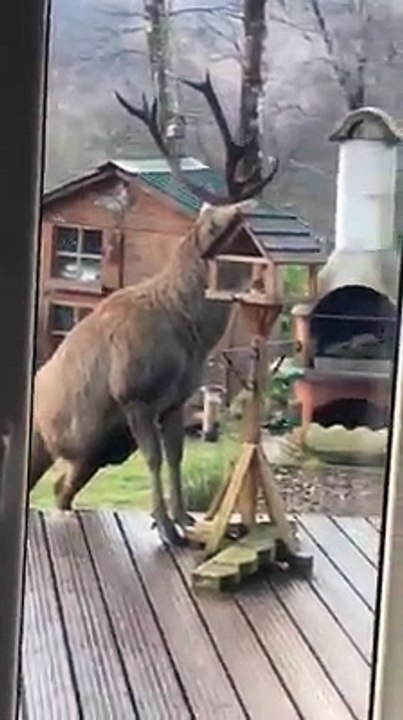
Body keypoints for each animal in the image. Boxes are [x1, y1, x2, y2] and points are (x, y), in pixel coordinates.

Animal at [28, 73, 279, 547]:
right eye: (236, 228)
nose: (264, 263)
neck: (187, 333)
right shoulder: (135, 394)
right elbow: (155, 460)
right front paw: (165, 527)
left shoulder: (176, 400)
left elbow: (177, 457)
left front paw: (185, 521)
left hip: (92, 451)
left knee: (60, 489)